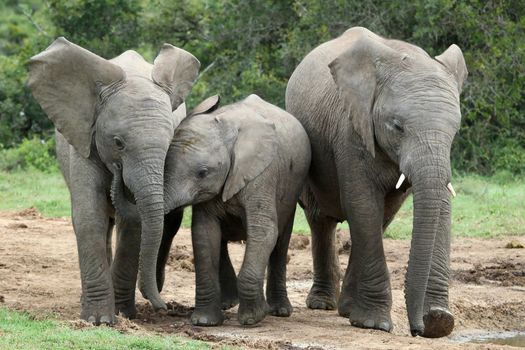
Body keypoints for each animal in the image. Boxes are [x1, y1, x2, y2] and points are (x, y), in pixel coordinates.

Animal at [28, 37, 201, 324]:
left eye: (170, 143)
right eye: (118, 143)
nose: (164, 307)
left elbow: (134, 225)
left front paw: (123, 315)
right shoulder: (85, 141)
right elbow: (89, 217)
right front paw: (98, 320)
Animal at [160, 95, 310, 326]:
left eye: (203, 173)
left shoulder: (263, 174)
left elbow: (263, 232)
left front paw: (252, 319)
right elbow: (204, 234)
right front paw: (204, 322)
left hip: (292, 188)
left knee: (280, 241)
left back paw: (279, 311)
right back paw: (228, 304)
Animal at [286, 26, 466, 338]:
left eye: (455, 129)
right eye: (397, 126)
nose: (418, 329)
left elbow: (439, 205)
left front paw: (440, 320)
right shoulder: (350, 129)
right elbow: (362, 203)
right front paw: (374, 324)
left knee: (380, 218)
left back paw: (346, 308)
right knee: (321, 219)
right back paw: (323, 304)